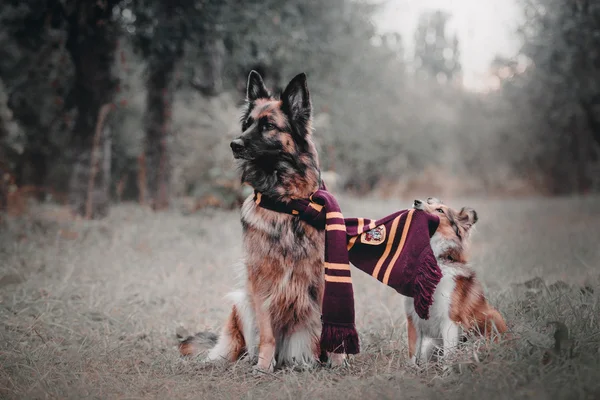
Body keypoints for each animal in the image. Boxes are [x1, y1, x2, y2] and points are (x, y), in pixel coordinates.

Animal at [406, 198, 508, 366]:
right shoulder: (413, 320)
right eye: (428, 202)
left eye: (440, 210)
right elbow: (413, 356)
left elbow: (448, 356)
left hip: (492, 315)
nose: (416, 201)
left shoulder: (450, 321)